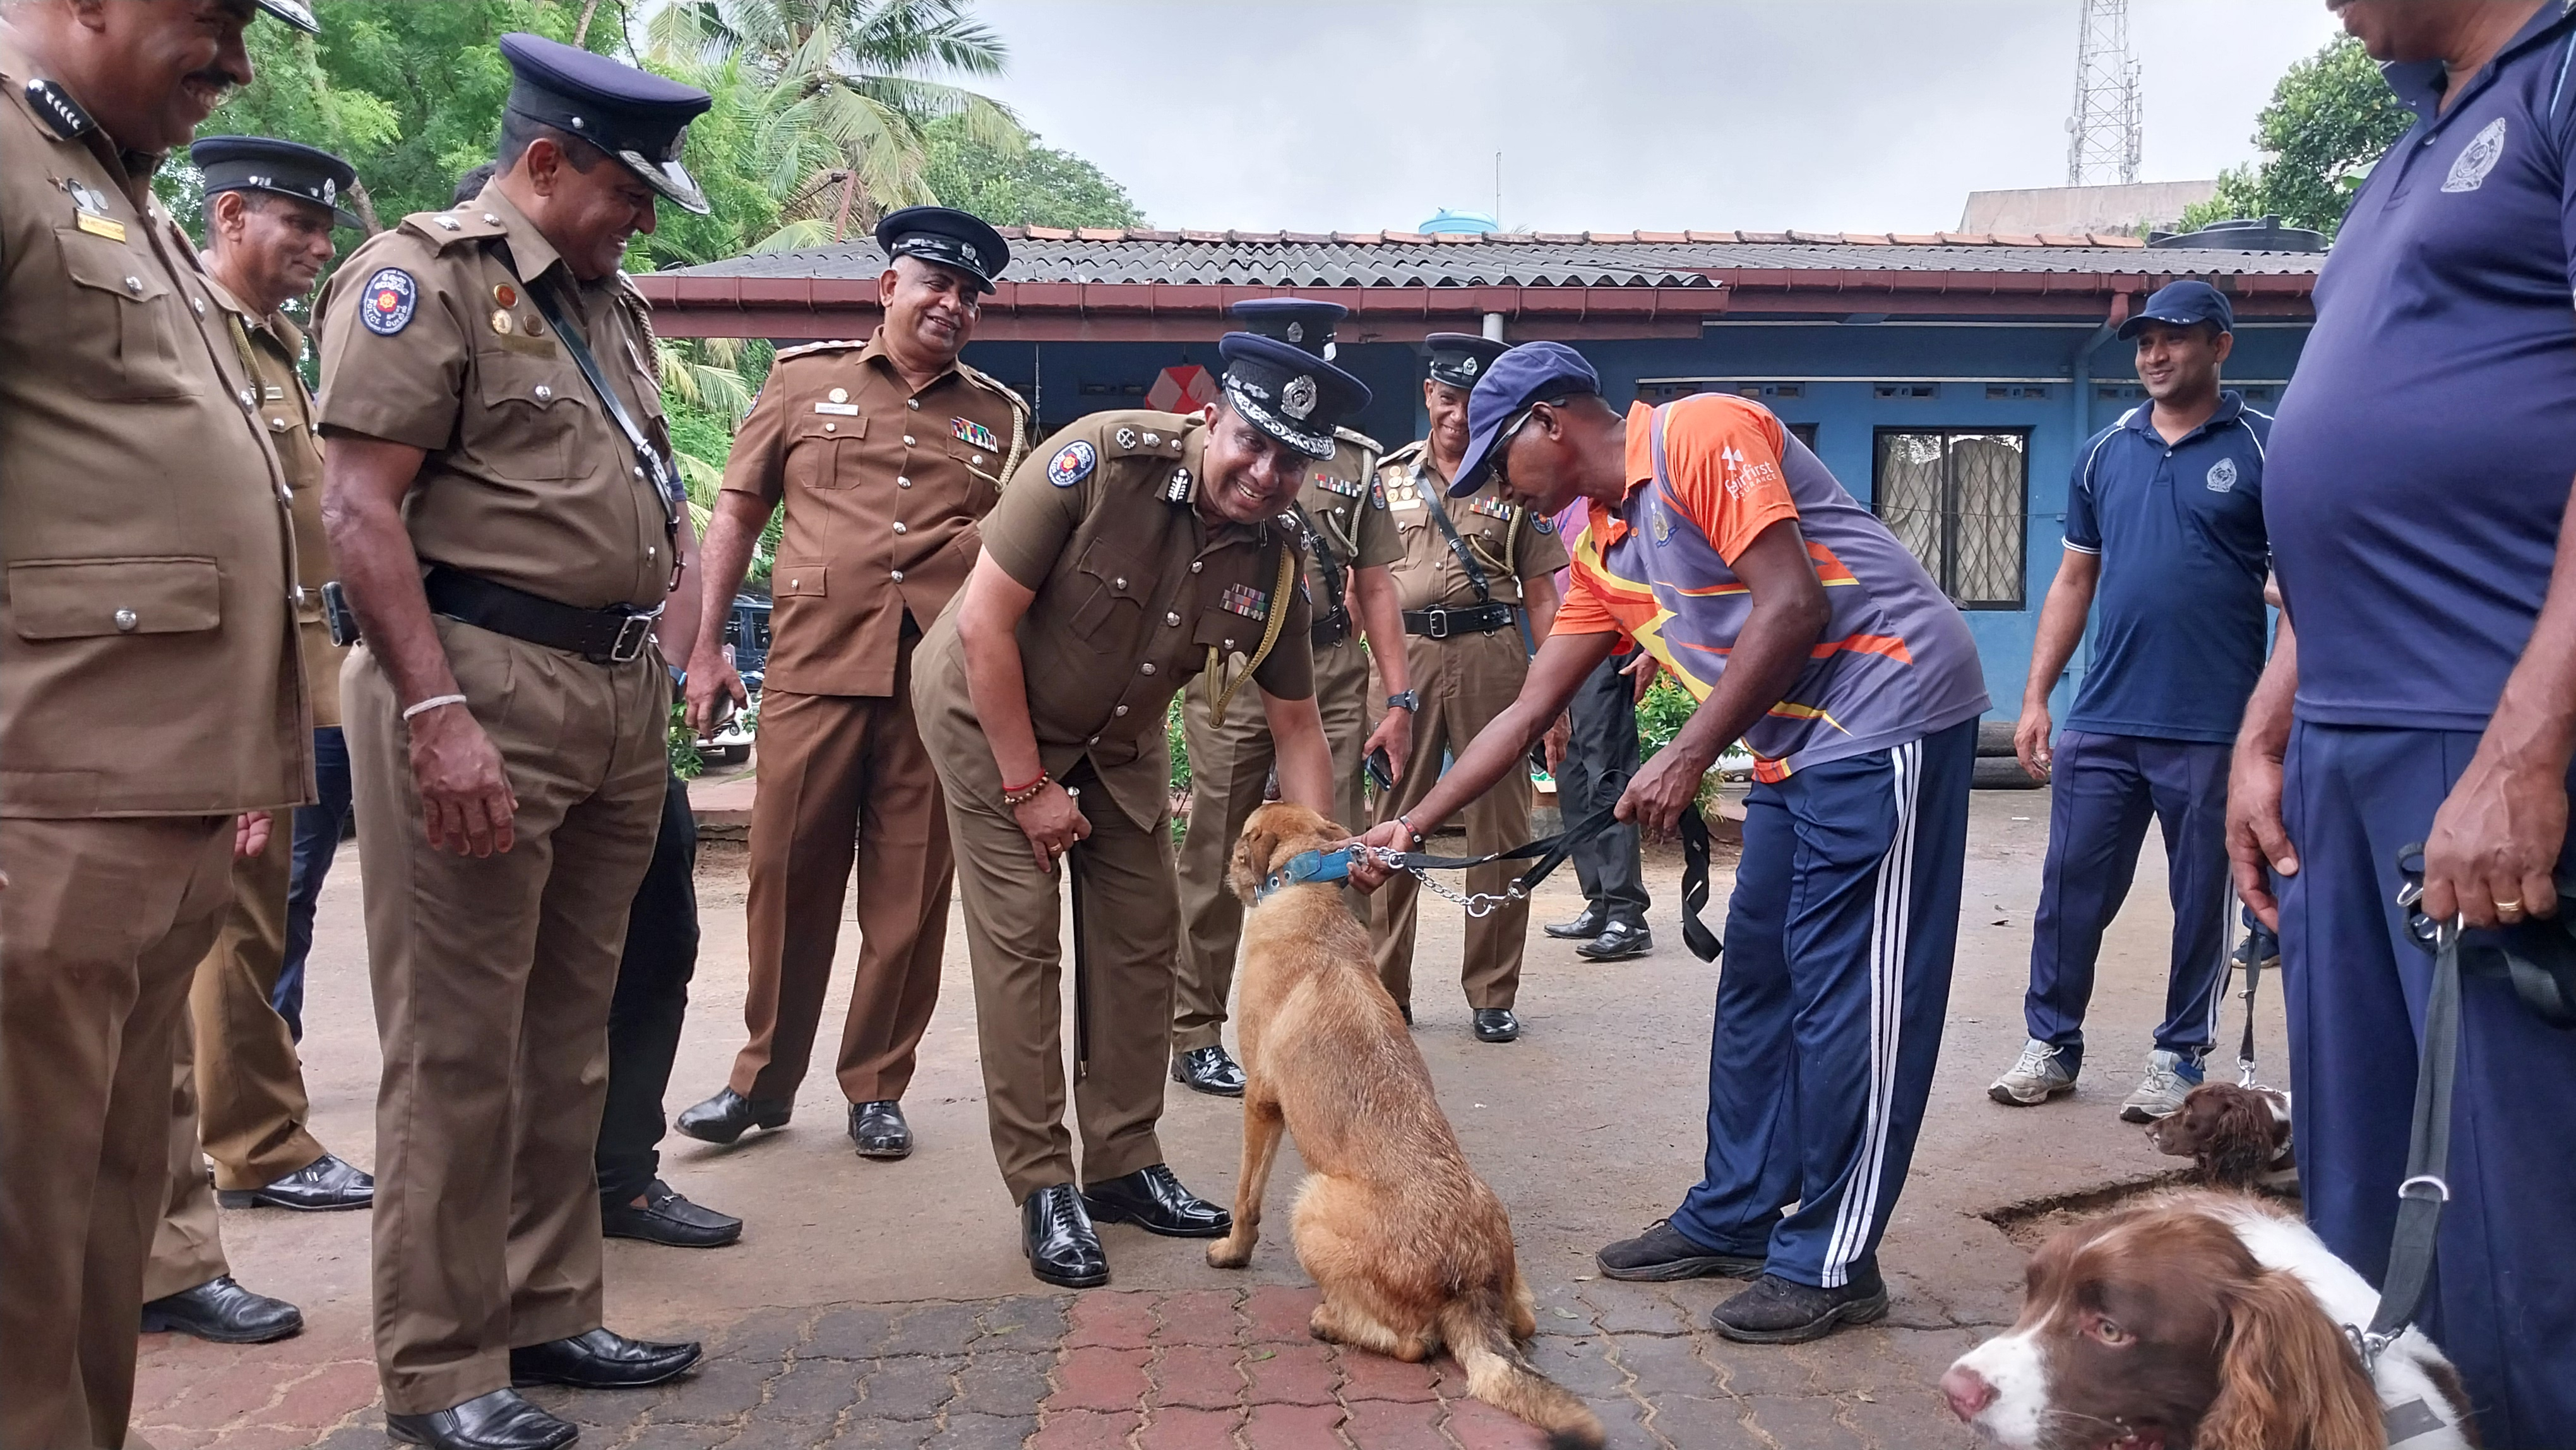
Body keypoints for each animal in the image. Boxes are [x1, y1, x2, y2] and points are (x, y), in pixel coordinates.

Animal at [1200, 803, 1587, 1450]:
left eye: (1242, 839)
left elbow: (1245, 1198)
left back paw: (1330, 1321)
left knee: (1411, 1345)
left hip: (1310, 1202)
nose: (1226, 863)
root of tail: (1468, 1285)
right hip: (1507, 1272)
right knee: (1525, 1322)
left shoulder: (1260, 1101)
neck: (1305, 887)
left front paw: (1233, 1251)